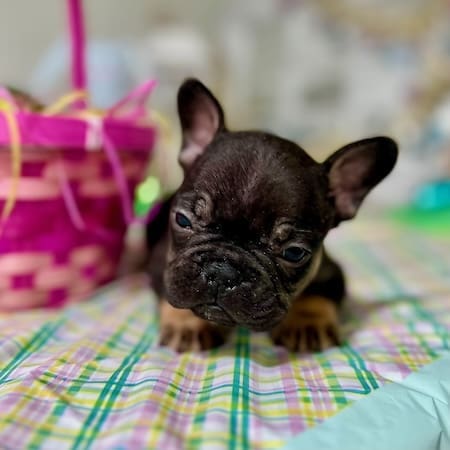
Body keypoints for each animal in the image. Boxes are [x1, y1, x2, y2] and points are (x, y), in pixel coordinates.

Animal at [146, 79, 398, 353]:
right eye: (182, 220)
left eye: (295, 253)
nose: (221, 271)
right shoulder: (163, 264)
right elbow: (172, 286)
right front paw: (190, 324)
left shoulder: (331, 271)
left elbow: (317, 294)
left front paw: (307, 323)